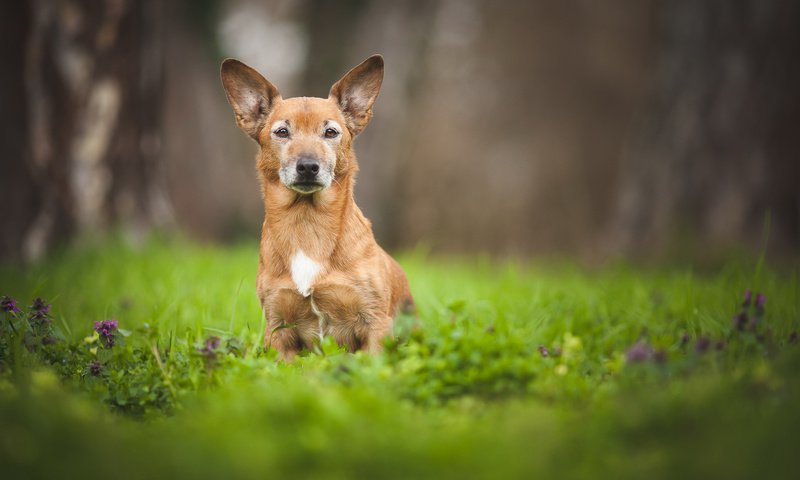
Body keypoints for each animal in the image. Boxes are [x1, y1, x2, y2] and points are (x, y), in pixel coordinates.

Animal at [222, 54, 416, 358]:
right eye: (282, 131)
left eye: (330, 132)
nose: (308, 166)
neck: (307, 222)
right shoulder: (277, 329)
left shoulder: (375, 322)